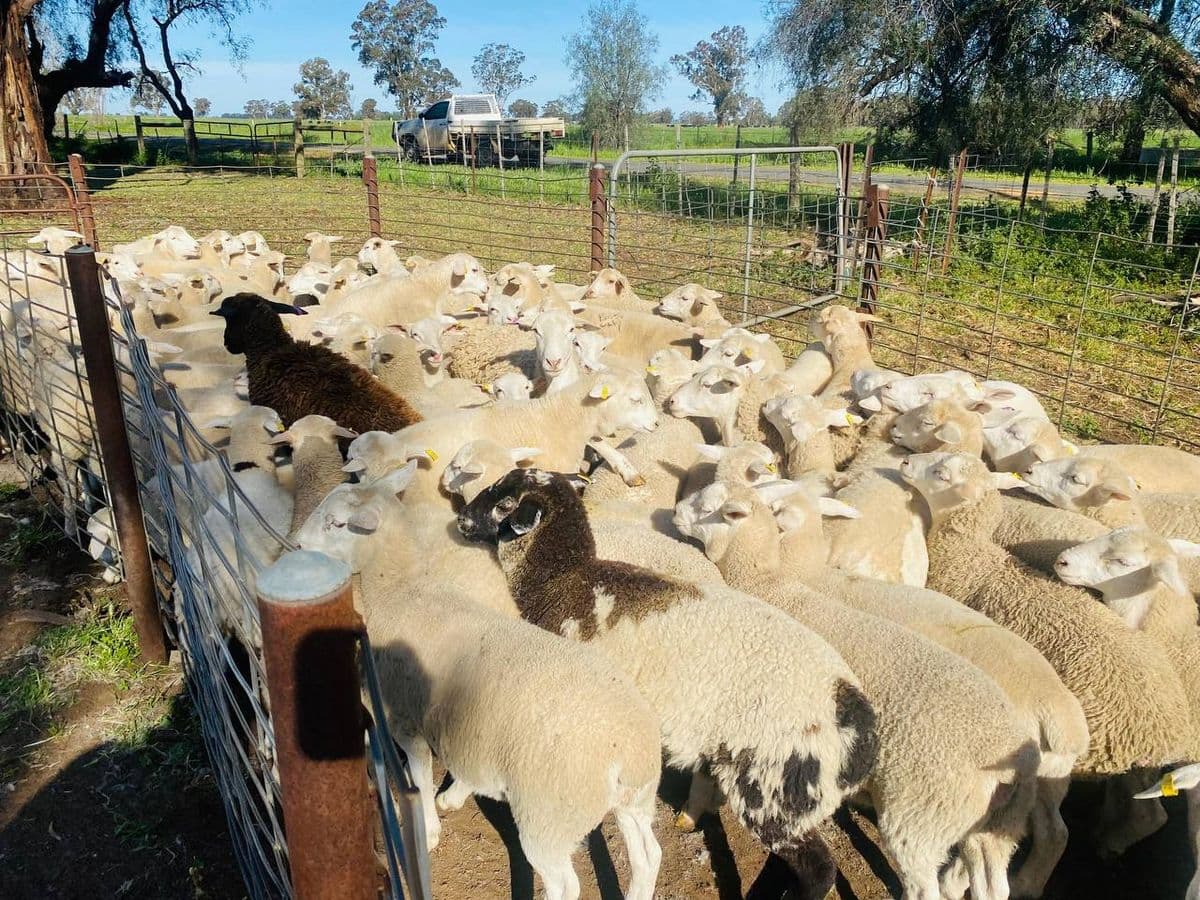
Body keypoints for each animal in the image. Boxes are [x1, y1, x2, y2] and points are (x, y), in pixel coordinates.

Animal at [458, 468, 879, 900]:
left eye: (506, 503)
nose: (461, 521)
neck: (563, 581)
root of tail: (859, 733)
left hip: (773, 785)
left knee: (818, 868)